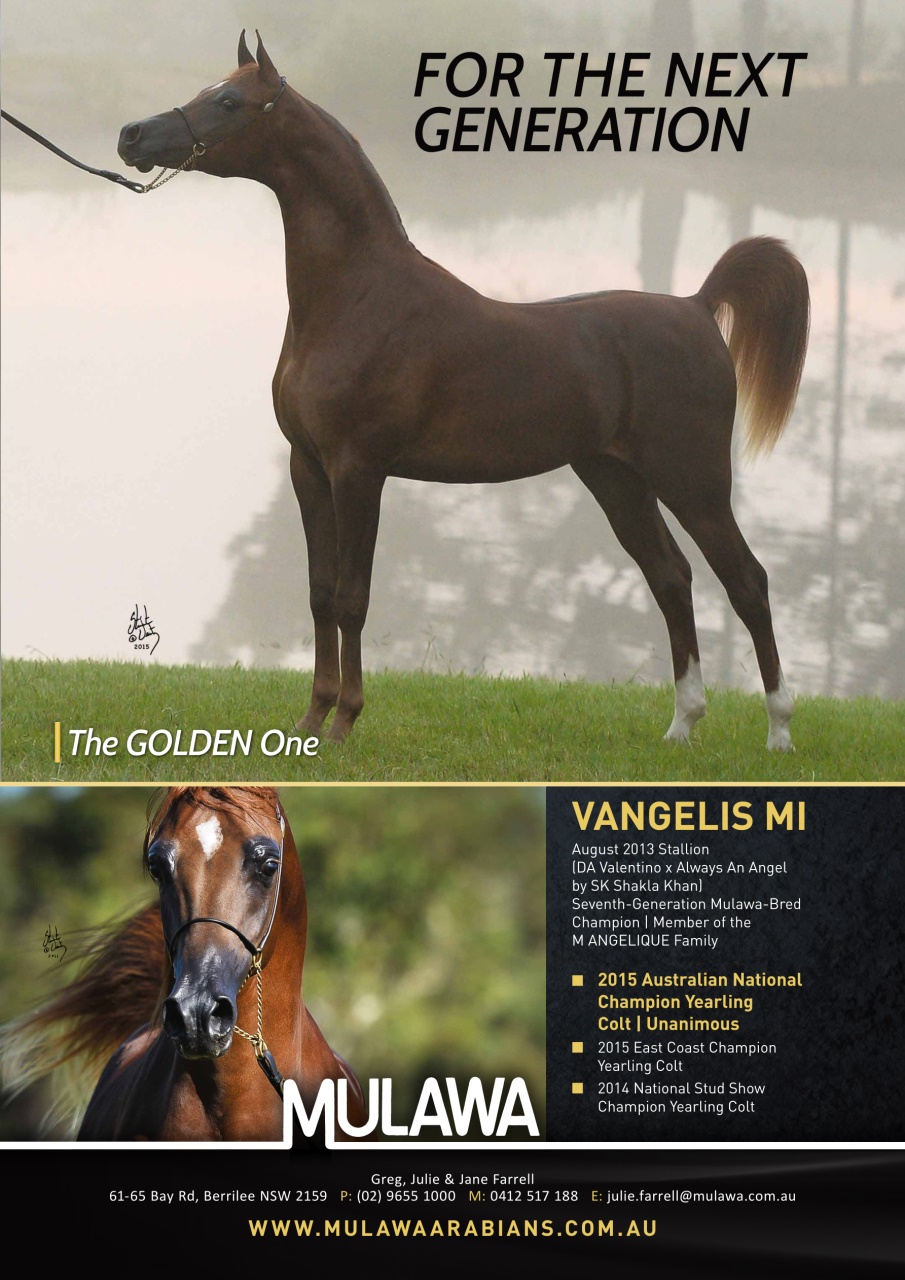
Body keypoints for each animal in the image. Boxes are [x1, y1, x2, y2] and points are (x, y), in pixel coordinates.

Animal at [116, 31, 810, 752]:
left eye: (229, 101)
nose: (132, 135)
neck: (356, 298)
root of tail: (697, 306)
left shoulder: (358, 470)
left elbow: (353, 598)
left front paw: (344, 722)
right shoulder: (306, 467)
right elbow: (318, 593)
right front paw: (310, 720)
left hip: (693, 480)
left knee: (746, 581)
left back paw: (778, 732)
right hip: (616, 479)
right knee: (671, 578)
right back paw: (681, 724)